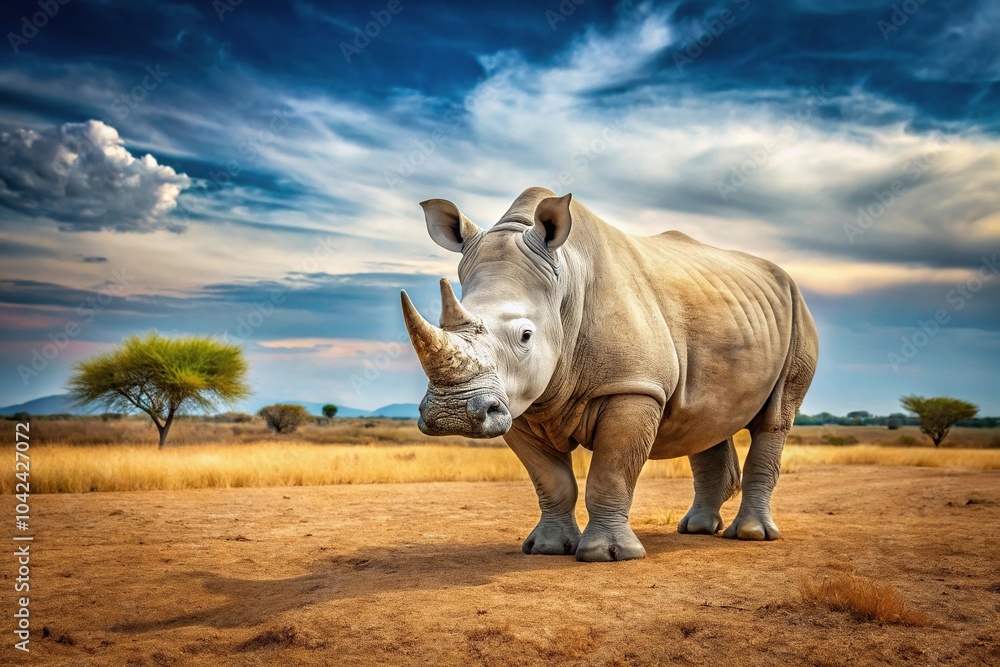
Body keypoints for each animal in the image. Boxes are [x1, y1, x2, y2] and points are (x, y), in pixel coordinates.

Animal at [400, 187, 819, 561]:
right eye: (441, 324)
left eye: (525, 336)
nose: (452, 414)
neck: (565, 283)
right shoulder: (515, 400)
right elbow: (551, 479)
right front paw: (547, 549)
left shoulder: (633, 387)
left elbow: (611, 472)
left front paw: (609, 554)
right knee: (704, 418)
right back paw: (696, 529)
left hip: (798, 315)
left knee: (774, 419)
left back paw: (750, 536)